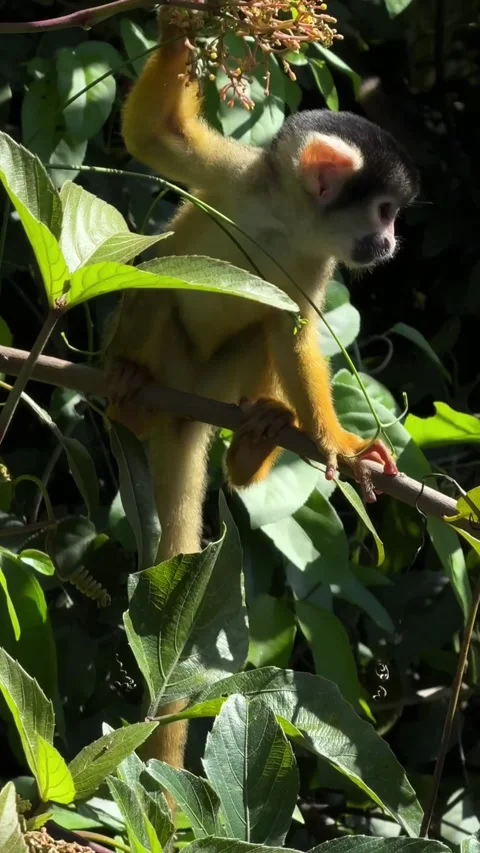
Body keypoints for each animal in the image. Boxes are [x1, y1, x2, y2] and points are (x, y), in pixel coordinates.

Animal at [105, 8, 418, 786]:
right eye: (384, 211)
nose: (390, 244)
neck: (288, 219)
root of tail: (186, 415)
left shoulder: (316, 261)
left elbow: (294, 329)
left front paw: (339, 443)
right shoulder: (234, 172)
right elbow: (152, 136)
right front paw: (181, 26)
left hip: (216, 384)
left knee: (258, 328)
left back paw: (255, 442)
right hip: (172, 360)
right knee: (158, 271)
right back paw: (126, 389)